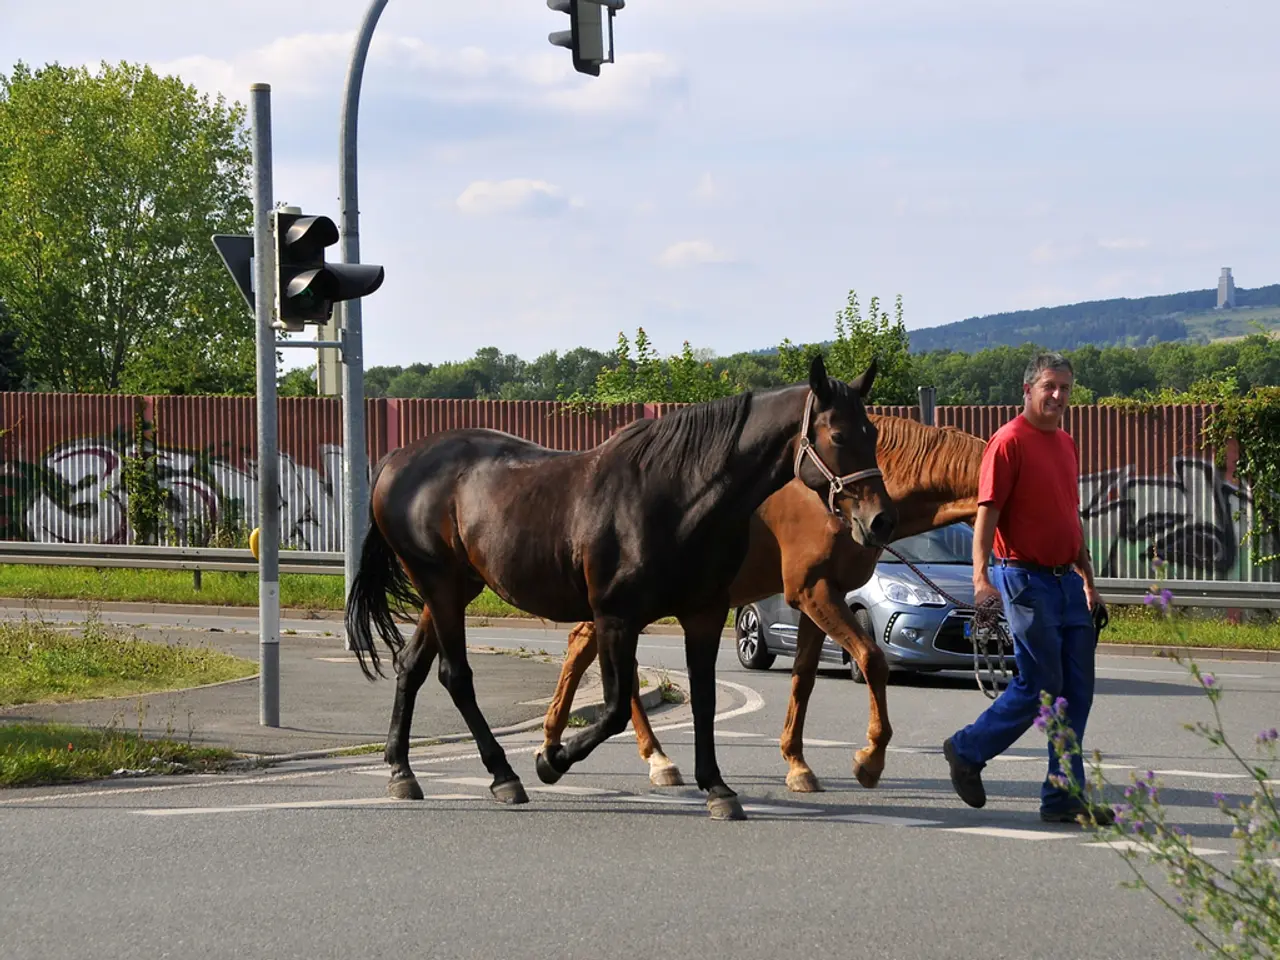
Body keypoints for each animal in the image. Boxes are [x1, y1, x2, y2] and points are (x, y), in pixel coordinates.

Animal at [344, 355, 899, 820]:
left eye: (872, 431)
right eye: (838, 434)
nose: (880, 520)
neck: (675, 495)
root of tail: (397, 460)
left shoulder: (703, 614)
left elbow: (703, 701)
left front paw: (717, 788)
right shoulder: (615, 617)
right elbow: (612, 710)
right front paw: (550, 760)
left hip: (454, 588)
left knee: (411, 665)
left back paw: (402, 770)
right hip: (438, 584)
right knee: (454, 675)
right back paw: (504, 775)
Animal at [539, 415, 986, 793]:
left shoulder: (820, 597)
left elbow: (804, 677)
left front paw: (797, 764)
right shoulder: (814, 591)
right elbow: (873, 660)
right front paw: (869, 760)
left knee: (586, 648)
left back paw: (563, 740)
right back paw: (648, 756)